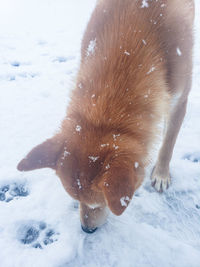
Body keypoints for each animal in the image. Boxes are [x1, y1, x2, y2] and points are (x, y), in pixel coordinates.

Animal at [17, 0, 194, 233]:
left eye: (99, 204)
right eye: (76, 200)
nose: (86, 230)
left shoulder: (179, 100)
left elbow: (168, 144)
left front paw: (162, 174)